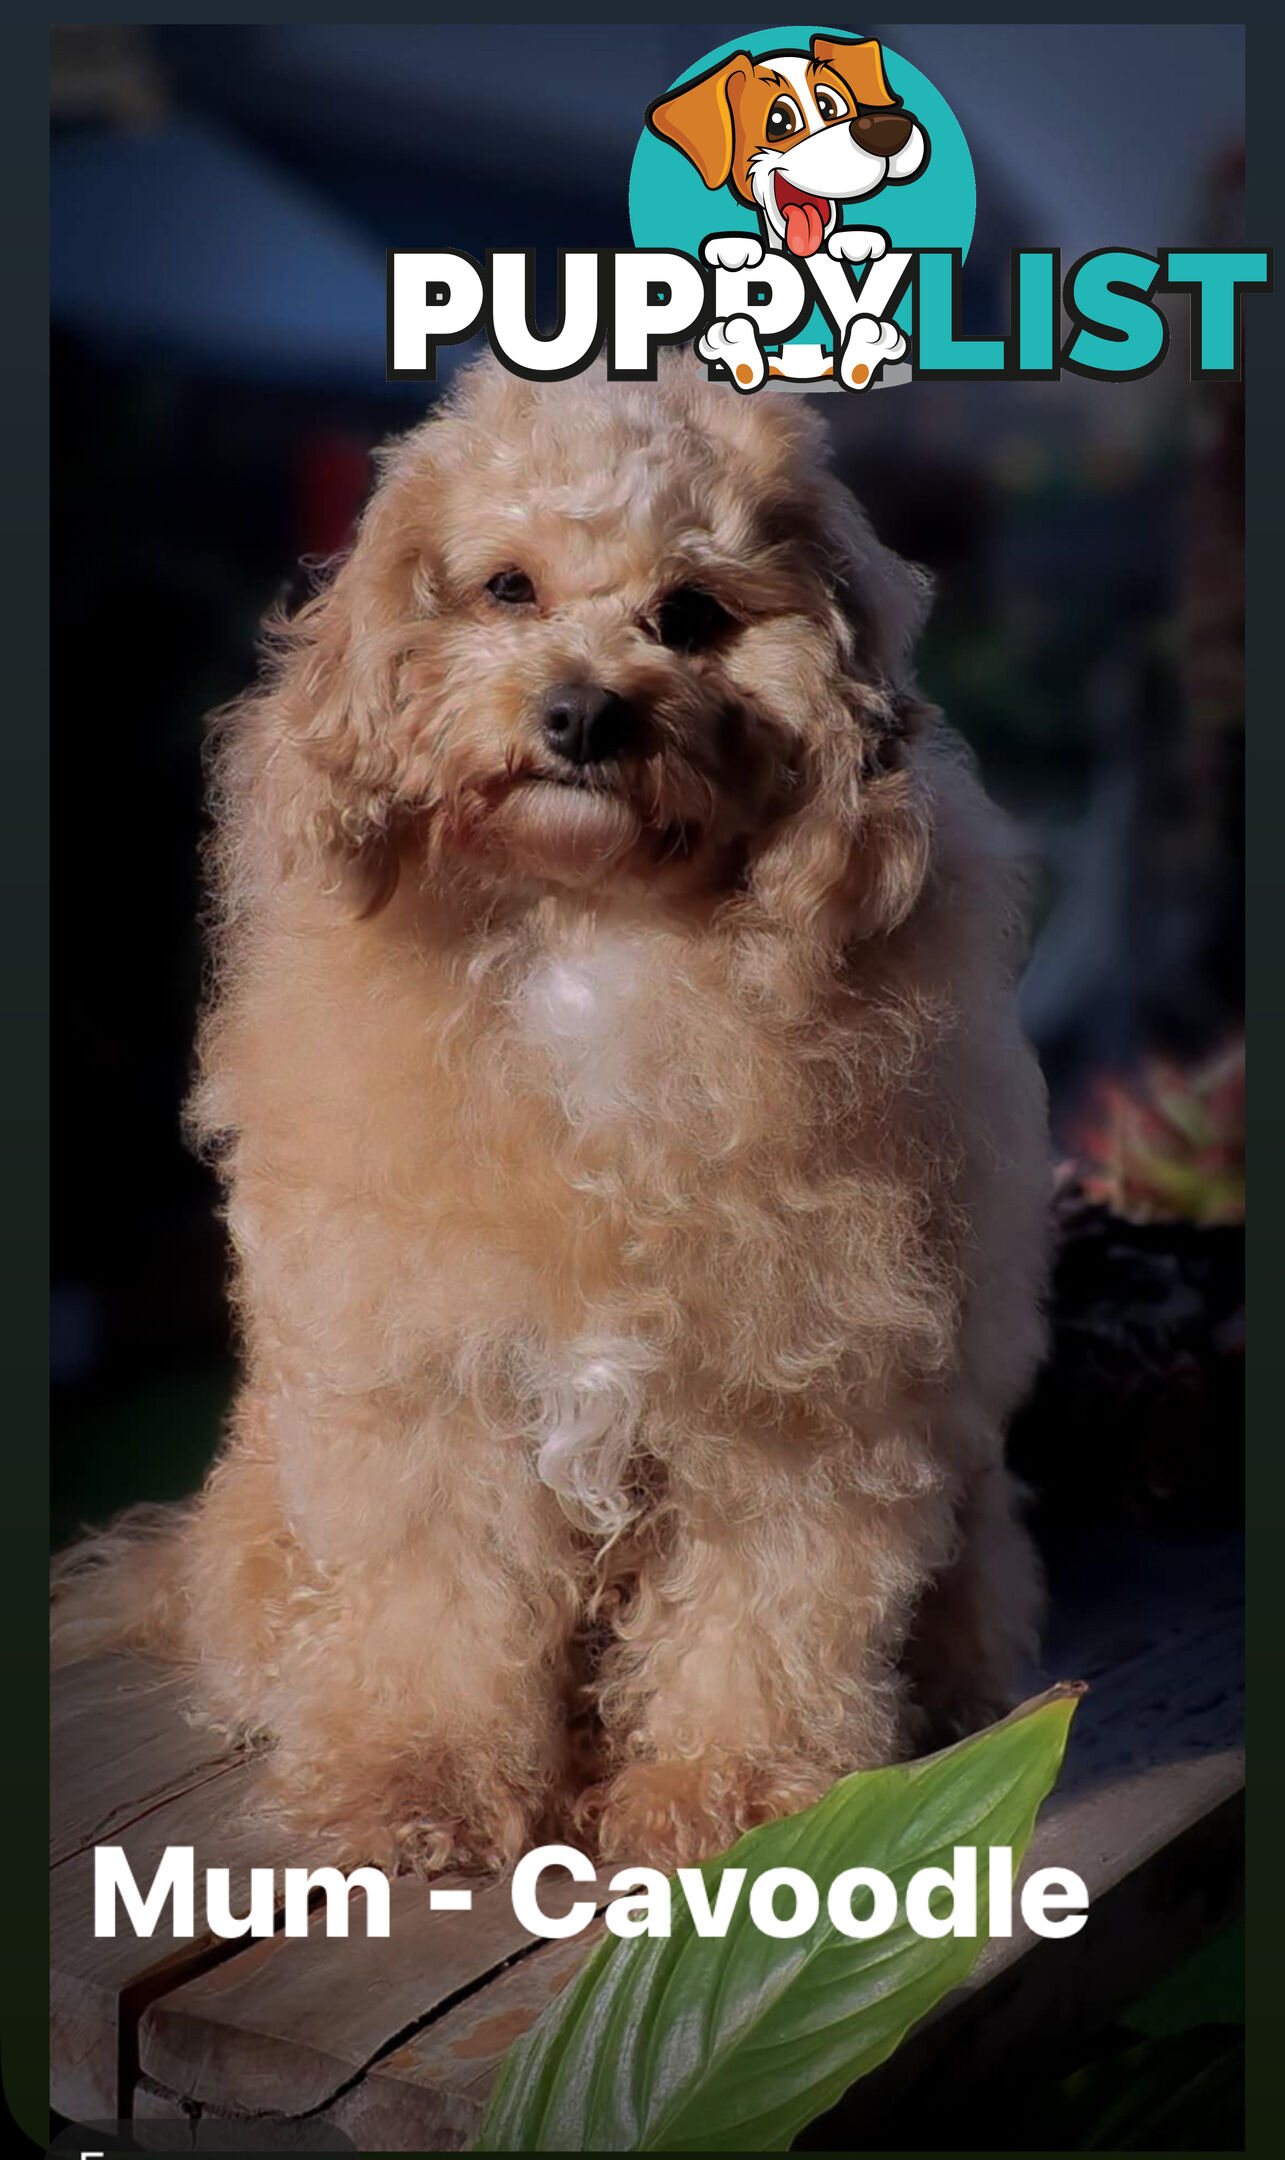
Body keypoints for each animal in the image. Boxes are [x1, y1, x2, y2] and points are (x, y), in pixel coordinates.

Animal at [55, 354, 1049, 1874]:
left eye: (690, 616)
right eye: (506, 589)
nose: (582, 715)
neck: (595, 930)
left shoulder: (797, 1400)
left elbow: (764, 1616)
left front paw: (726, 1801)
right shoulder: (429, 1386)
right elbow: (438, 1604)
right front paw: (412, 1784)